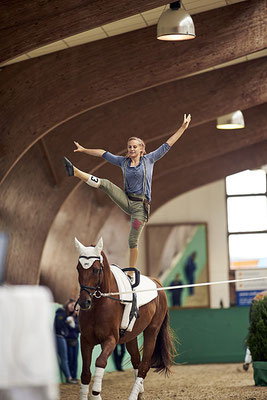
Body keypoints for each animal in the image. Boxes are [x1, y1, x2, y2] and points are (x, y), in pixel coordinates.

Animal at [75, 238, 176, 400]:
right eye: (78, 268)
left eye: (95, 270)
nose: (85, 302)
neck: (100, 304)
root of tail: (156, 282)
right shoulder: (85, 340)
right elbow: (85, 373)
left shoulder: (111, 339)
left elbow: (100, 361)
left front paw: (96, 394)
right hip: (131, 337)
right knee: (136, 361)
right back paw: (139, 392)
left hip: (152, 331)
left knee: (144, 365)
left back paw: (133, 395)